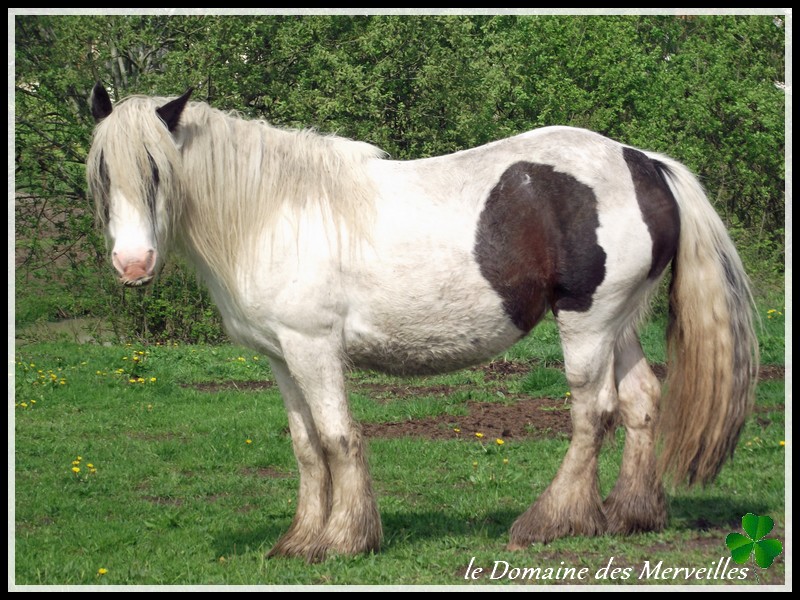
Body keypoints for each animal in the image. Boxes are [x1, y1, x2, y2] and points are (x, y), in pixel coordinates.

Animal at [86, 83, 756, 564]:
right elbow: (306, 446)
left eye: (157, 170)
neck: (273, 212)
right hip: (618, 323)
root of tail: (644, 163)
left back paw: (551, 521)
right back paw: (629, 514)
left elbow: (337, 438)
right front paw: (300, 539)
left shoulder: (314, 349)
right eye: (102, 174)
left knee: (594, 414)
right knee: (642, 401)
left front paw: (343, 540)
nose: (132, 264)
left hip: (587, 325)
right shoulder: (281, 357)